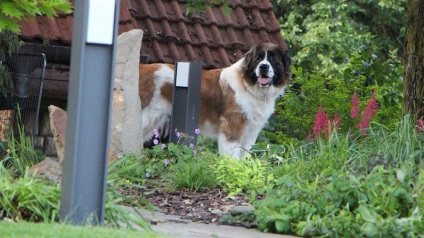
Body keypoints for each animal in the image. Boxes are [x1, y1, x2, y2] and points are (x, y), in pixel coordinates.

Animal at [139, 42, 292, 159]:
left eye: (273, 60)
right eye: (258, 59)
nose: (263, 67)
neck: (248, 85)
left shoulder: (251, 129)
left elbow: (244, 153)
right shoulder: (232, 125)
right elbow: (232, 154)